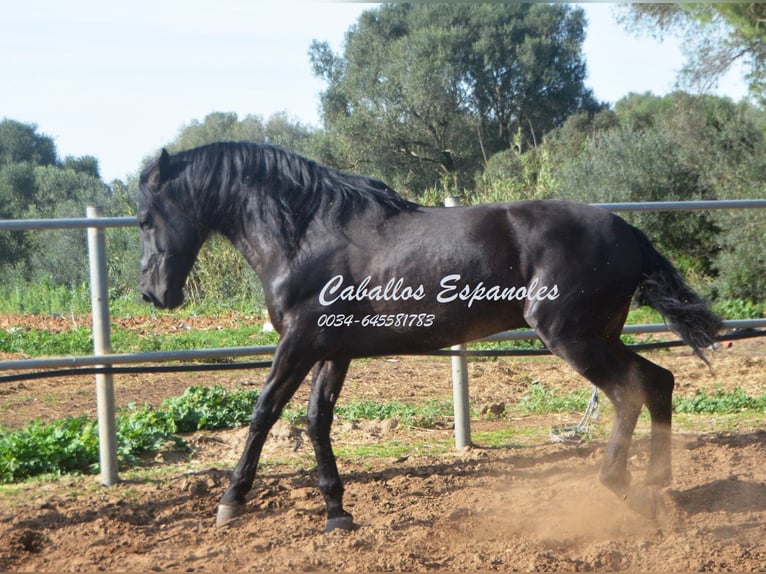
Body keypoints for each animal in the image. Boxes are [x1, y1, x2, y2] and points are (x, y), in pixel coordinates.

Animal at [141, 142, 724, 532]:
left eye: (147, 219)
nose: (153, 293)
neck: (306, 235)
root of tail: (628, 231)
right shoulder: (332, 351)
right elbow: (316, 420)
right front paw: (337, 512)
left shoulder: (299, 344)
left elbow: (263, 412)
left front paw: (230, 502)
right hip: (599, 335)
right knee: (659, 380)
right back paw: (658, 481)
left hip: (572, 336)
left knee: (629, 392)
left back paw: (620, 485)